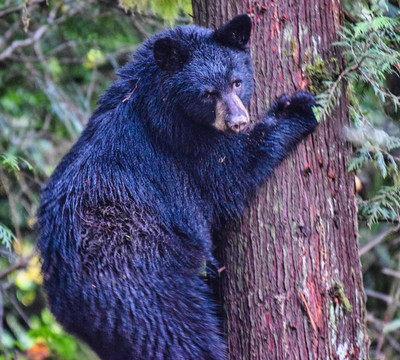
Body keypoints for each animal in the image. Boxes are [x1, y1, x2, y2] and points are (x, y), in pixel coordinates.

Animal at [37, 14, 318, 360]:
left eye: (237, 81)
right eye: (207, 93)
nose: (238, 121)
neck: (154, 101)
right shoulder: (184, 149)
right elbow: (231, 175)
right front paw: (295, 110)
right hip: (147, 287)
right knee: (181, 338)